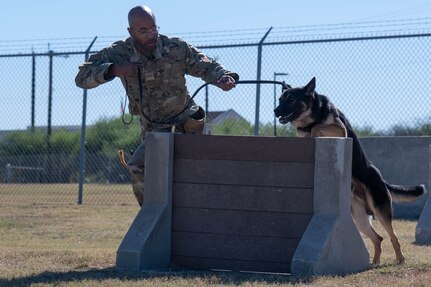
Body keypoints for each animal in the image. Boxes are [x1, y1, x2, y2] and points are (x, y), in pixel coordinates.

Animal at [276, 77, 426, 266]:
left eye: (291, 100)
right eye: (280, 99)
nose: (275, 111)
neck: (313, 113)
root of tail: (381, 178)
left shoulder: (340, 130)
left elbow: (316, 127)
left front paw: (313, 131)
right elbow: (305, 132)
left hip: (380, 209)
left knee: (393, 237)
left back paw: (400, 259)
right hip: (360, 218)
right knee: (379, 238)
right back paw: (374, 263)